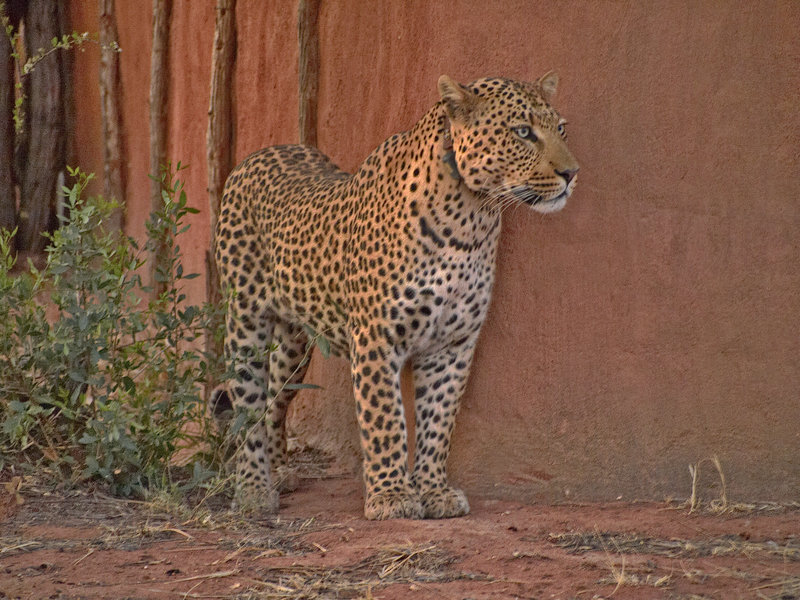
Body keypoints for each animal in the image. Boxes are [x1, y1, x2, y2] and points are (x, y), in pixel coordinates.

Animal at [214, 73, 579, 520]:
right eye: (523, 132)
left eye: (560, 129)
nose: (571, 173)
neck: (472, 217)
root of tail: (258, 154)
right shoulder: (376, 338)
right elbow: (385, 419)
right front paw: (391, 496)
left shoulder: (452, 344)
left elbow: (438, 421)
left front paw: (434, 491)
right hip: (246, 322)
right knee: (247, 405)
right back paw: (253, 488)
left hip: (294, 348)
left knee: (274, 402)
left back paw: (278, 470)